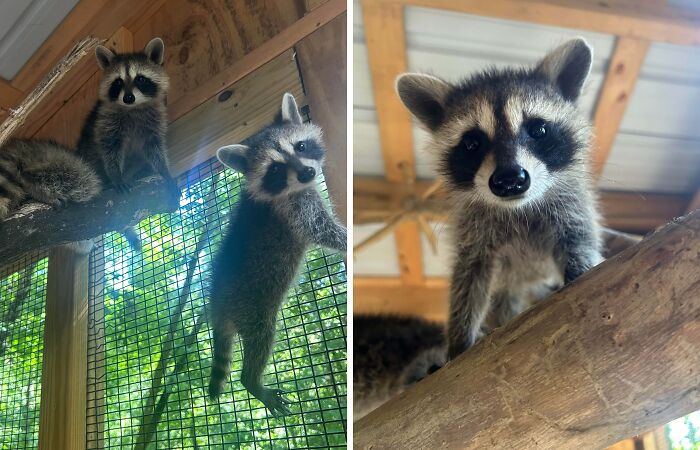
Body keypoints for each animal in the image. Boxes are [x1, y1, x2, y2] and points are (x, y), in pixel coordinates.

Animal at [77, 37, 175, 249]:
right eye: (118, 82)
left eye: (140, 79)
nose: (128, 97)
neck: (133, 108)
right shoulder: (106, 121)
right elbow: (109, 149)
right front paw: (116, 175)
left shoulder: (154, 120)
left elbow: (155, 149)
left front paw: (164, 170)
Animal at [207, 93, 347, 416]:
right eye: (275, 170)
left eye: (301, 146)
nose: (308, 172)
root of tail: (217, 304)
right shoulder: (295, 210)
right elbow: (324, 231)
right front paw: (349, 238)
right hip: (253, 309)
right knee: (261, 339)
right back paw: (251, 381)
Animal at [396, 38, 603, 360]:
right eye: (472, 143)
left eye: (538, 129)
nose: (509, 181)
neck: (519, 207)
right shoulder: (473, 229)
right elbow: (469, 276)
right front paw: (460, 338)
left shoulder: (573, 208)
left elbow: (580, 245)